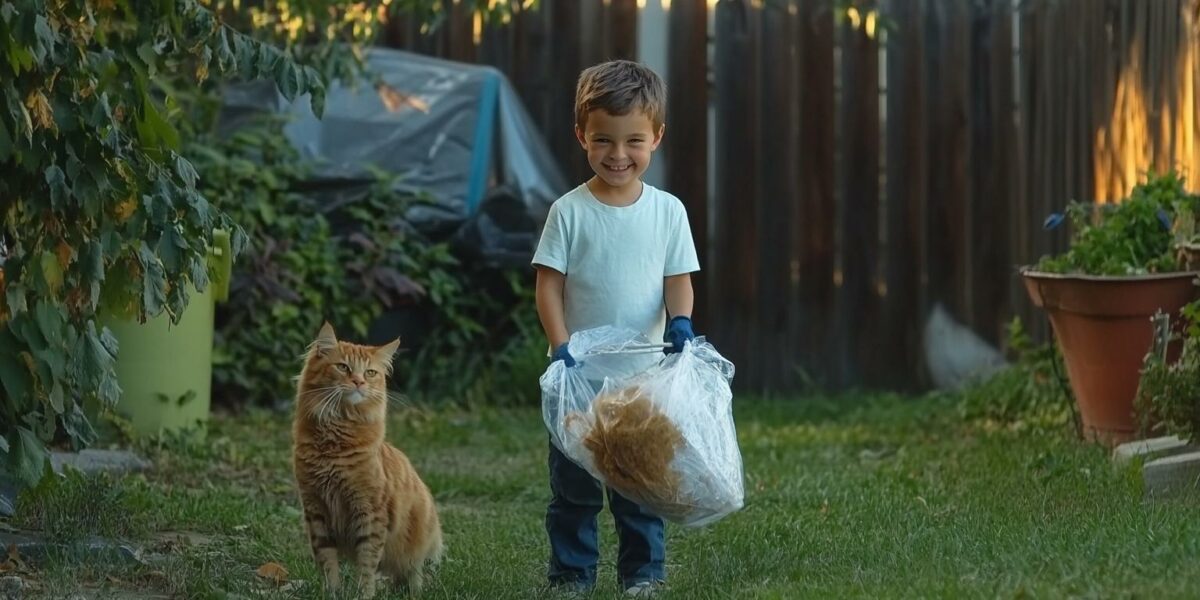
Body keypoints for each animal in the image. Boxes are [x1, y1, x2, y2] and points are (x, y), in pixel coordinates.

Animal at [291, 326, 446, 597]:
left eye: (370, 372)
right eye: (343, 367)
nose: (358, 382)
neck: (335, 442)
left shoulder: (369, 511)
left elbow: (367, 563)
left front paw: (364, 594)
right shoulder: (316, 509)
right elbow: (327, 561)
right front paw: (331, 593)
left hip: (418, 541)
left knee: (414, 574)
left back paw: (413, 592)